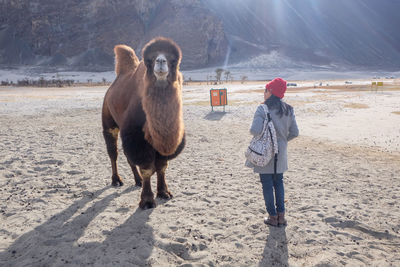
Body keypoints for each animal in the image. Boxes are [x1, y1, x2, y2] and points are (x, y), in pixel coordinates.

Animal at [102, 37, 185, 209]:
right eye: (149, 60)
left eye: (174, 60)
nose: (161, 61)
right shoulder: (136, 137)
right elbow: (147, 167)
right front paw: (147, 201)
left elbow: (162, 166)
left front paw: (164, 192)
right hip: (109, 120)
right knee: (113, 152)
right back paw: (116, 180)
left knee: (127, 156)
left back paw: (137, 180)